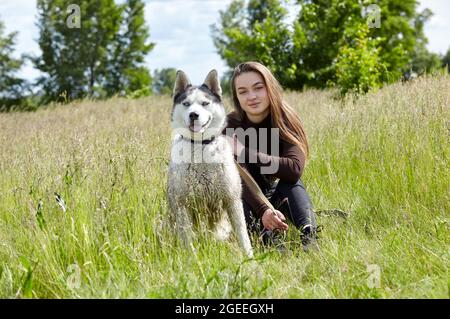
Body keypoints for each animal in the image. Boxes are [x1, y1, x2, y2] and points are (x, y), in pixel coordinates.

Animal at [168, 69, 253, 258]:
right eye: (186, 104)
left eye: (205, 103)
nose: (193, 114)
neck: (201, 145)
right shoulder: (183, 203)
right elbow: (187, 239)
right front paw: (191, 259)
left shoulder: (232, 200)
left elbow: (242, 234)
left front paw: (250, 257)